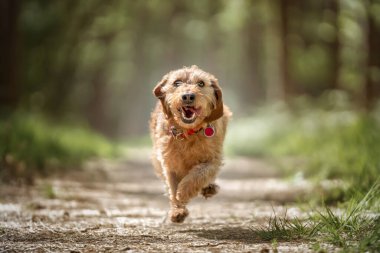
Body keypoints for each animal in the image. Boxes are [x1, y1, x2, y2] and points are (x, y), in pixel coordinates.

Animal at [150, 65, 230, 223]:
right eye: (177, 82)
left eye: (201, 83)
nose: (188, 96)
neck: (188, 132)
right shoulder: (169, 163)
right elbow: (172, 187)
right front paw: (177, 210)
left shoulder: (213, 159)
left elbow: (200, 173)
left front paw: (184, 191)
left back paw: (209, 188)